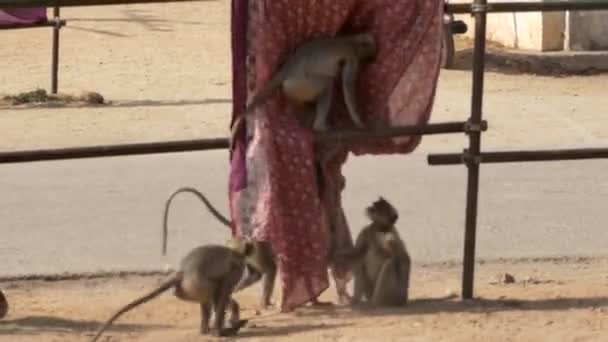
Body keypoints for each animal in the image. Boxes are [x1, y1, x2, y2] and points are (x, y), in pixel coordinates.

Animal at [230, 32, 378, 152]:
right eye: (366, 55)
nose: (368, 58)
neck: (349, 40)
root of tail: (287, 68)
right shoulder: (351, 55)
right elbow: (348, 88)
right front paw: (360, 123)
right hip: (300, 83)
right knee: (327, 84)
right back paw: (319, 126)